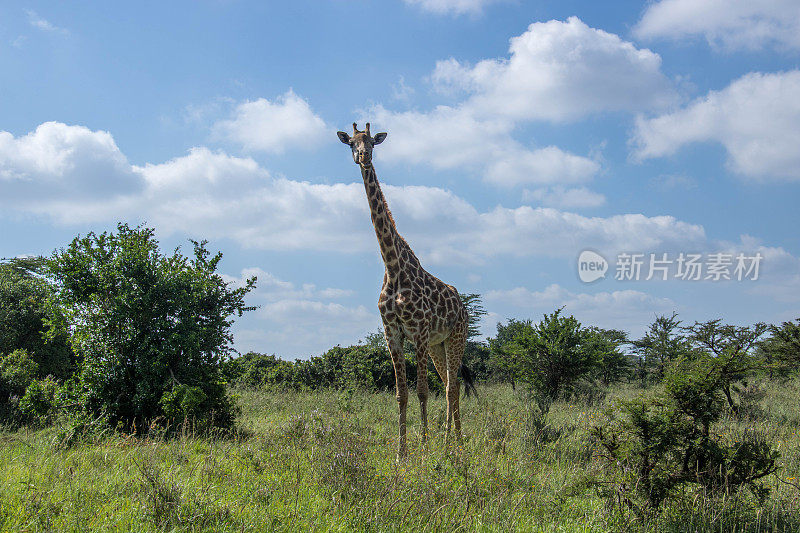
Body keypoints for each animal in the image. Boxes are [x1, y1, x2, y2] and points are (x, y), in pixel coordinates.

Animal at [338, 122, 476, 460]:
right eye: (351, 143)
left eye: (372, 142)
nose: (363, 157)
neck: (392, 267)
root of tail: (463, 306)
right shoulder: (393, 333)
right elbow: (402, 394)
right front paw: (402, 453)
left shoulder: (420, 332)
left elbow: (422, 391)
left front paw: (423, 450)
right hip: (440, 345)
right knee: (449, 385)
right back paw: (448, 441)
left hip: (456, 337)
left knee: (452, 388)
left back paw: (455, 443)